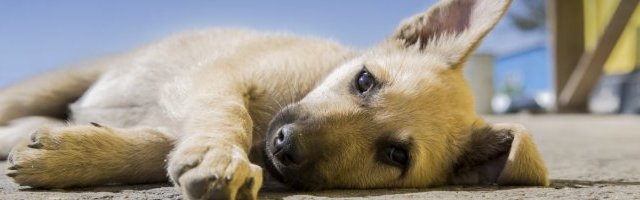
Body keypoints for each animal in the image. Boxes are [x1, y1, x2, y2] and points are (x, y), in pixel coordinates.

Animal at [1, 0, 552, 199]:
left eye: (396, 155)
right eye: (364, 81)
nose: (285, 145)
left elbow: (155, 147)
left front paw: (69, 154)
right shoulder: (217, 76)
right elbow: (230, 115)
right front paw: (220, 157)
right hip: (55, 82)